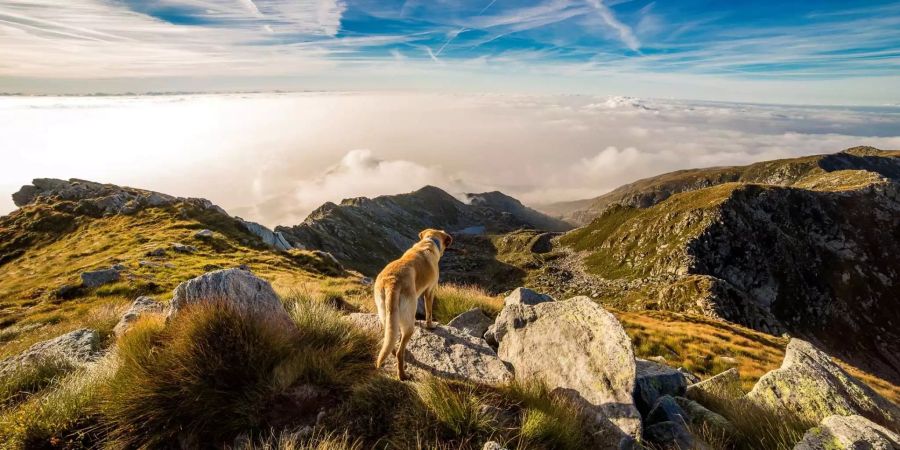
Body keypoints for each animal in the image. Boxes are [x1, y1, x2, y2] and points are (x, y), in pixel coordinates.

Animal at [374, 229, 454, 380]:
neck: (429, 241)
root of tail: (392, 282)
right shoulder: (430, 291)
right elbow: (429, 312)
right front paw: (430, 326)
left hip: (385, 314)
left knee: (390, 340)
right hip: (408, 325)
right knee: (400, 353)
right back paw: (402, 375)